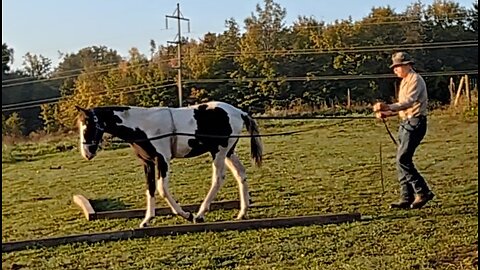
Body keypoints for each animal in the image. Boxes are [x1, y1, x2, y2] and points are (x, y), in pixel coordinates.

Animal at [75, 101, 262, 228]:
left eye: (88, 126)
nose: (86, 153)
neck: (143, 125)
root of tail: (239, 112)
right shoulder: (148, 162)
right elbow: (150, 189)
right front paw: (146, 220)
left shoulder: (162, 159)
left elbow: (161, 189)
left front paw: (186, 214)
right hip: (228, 152)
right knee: (240, 174)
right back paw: (242, 213)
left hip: (219, 152)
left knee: (218, 178)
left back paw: (200, 215)